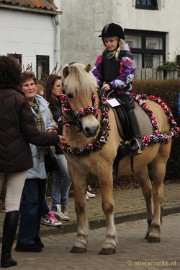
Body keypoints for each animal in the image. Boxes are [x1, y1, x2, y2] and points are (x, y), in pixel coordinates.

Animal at [59, 62, 179, 255]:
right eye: (69, 94)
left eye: (92, 92)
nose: (92, 129)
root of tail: (160, 104)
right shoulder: (75, 171)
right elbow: (80, 206)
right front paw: (80, 241)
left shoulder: (104, 168)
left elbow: (108, 205)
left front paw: (109, 242)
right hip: (139, 166)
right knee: (147, 192)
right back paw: (149, 228)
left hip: (160, 161)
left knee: (157, 193)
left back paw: (155, 231)